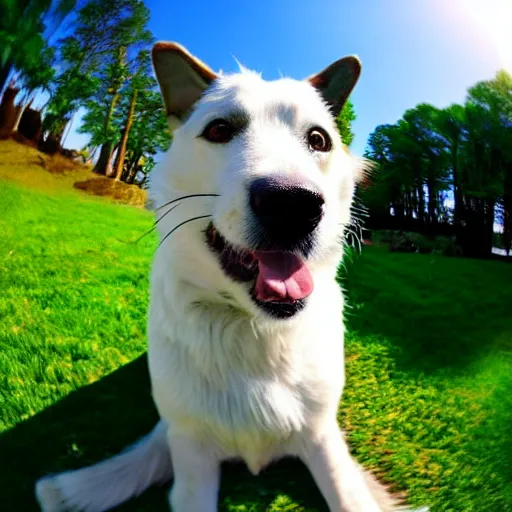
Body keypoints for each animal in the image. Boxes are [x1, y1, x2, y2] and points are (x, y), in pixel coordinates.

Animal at [36, 41, 426, 512]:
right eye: (220, 130)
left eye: (319, 140)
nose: (293, 204)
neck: (250, 326)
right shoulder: (192, 460)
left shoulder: (323, 441)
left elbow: (349, 495)